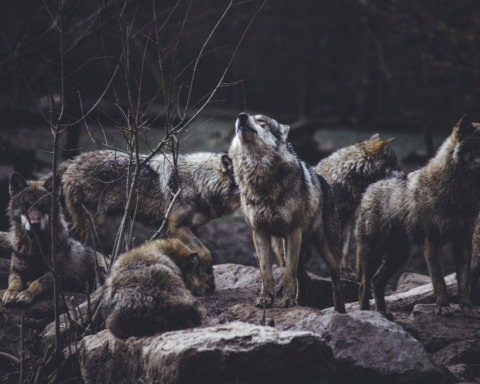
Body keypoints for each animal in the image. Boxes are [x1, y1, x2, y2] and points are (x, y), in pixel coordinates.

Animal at [2, 173, 107, 306]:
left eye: (44, 206)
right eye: (26, 205)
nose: (35, 224)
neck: (36, 248)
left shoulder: (56, 274)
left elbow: (37, 282)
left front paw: (26, 294)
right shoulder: (16, 271)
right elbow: (14, 283)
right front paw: (10, 293)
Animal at [229, 112, 344, 312]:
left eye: (261, 120)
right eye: (244, 117)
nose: (241, 116)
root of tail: (324, 181)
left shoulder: (292, 232)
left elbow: (288, 274)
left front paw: (288, 301)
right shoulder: (259, 232)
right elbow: (266, 272)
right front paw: (265, 300)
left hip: (326, 252)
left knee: (336, 282)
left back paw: (339, 311)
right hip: (283, 248)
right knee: (304, 277)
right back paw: (302, 303)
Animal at [356, 115, 480, 320]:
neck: (458, 195)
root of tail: (368, 189)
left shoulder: (463, 241)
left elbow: (464, 281)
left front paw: (468, 309)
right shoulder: (432, 241)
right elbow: (439, 280)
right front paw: (443, 308)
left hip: (400, 257)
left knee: (377, 280)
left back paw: (382, 312)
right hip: (374, 253)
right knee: (364, 284)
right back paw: (367, 313)